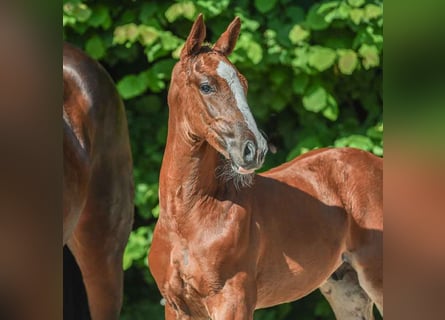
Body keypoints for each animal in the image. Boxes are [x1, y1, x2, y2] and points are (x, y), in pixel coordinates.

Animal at [149, 15, 382, 320]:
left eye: (244, 84)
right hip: (347, 289)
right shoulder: (177, 306)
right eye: (206, 86)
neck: (188, 216)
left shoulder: (233, 301)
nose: (254, 149)